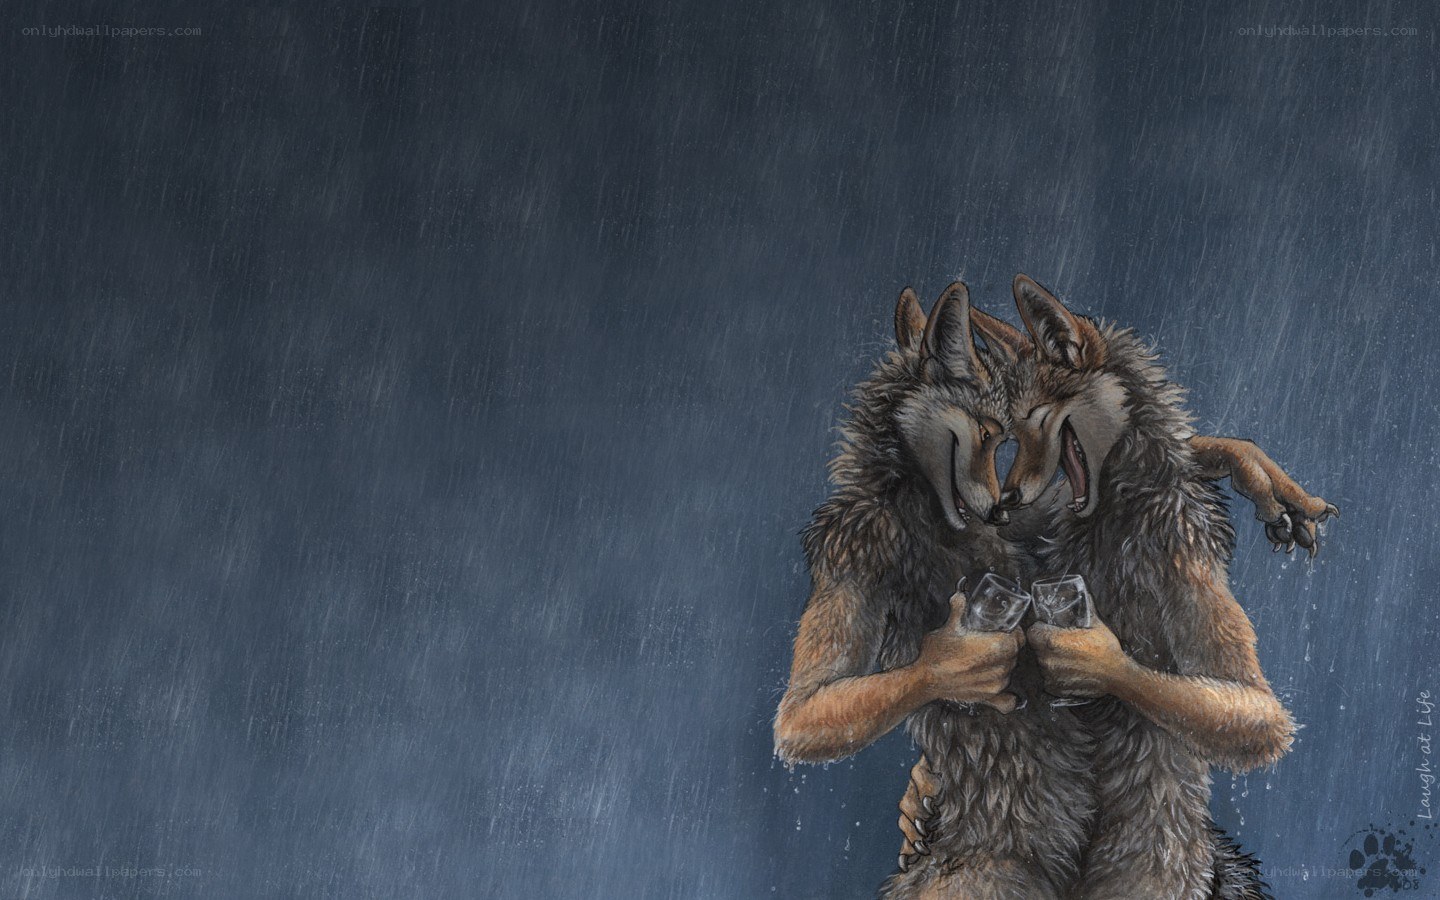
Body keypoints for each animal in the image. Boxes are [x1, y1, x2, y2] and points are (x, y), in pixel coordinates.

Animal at [775, 281, 1327, 899]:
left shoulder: (1179, 543)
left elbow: (1256, 712)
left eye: (1019, 426)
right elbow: (803, 713)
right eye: (996, 431)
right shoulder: (853, 549)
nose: (1003, 505)